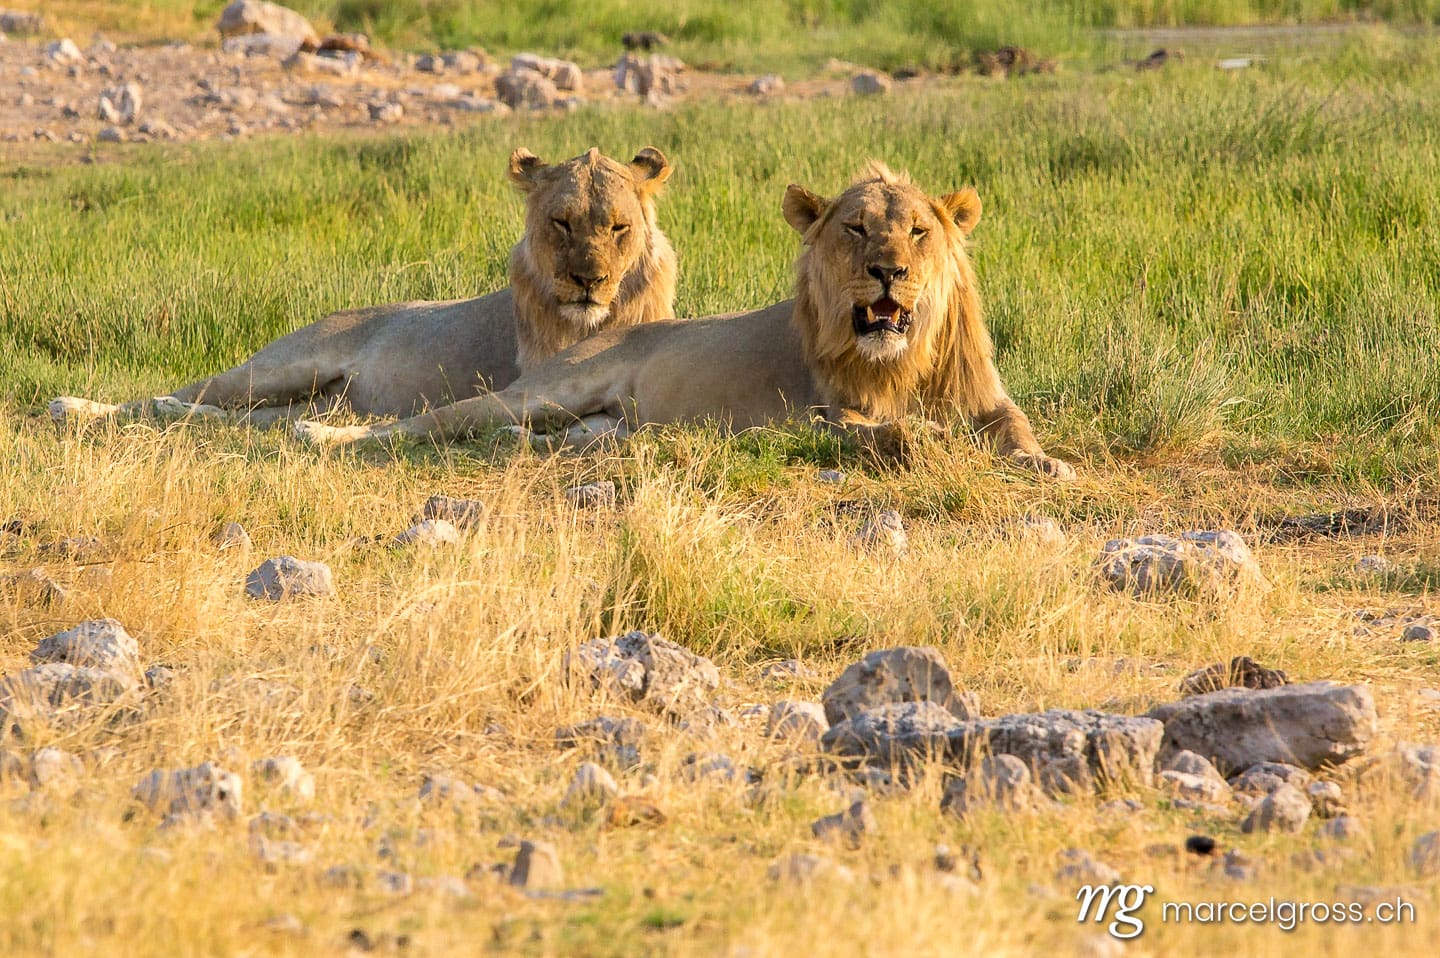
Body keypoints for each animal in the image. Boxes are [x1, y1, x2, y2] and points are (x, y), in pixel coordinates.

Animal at [48, 146, 677, 426]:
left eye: (617, 227)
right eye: (561, 222)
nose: (588, 279)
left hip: (307, 401)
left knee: (230, 414)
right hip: (280, 365)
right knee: (184, 393)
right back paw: (74, 406)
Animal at [296, 162, 1074, 480]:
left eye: (918, 232)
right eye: (855, 229)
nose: (890, 271)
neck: (902, 360)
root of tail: (603, 327)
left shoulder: (986, 398)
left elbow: (1017, 431)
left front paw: (1044, 463)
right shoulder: (823, 411)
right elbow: (882, 431)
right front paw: (926, 439)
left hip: (592, 424)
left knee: (538, 438)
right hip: (546, 390)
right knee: (430, 421)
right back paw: (320, 435)